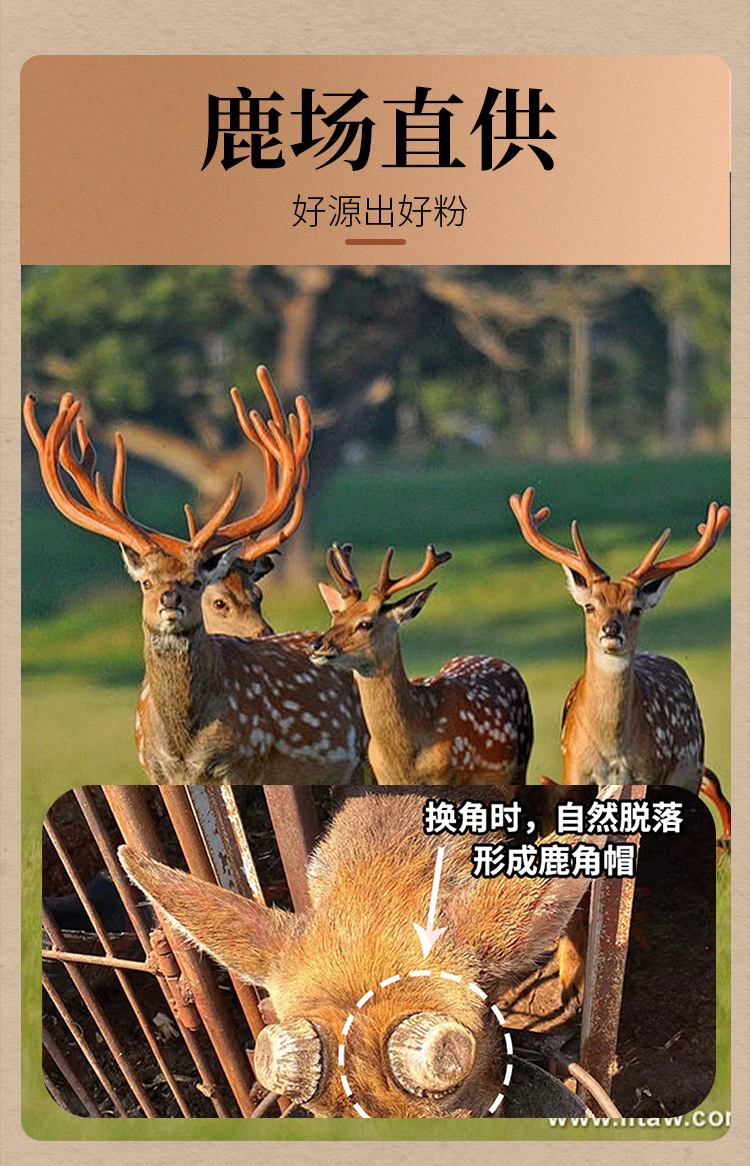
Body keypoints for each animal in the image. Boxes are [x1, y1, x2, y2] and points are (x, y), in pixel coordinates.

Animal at [24, 368, 367, 785]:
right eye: (147, 582)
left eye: (196, 582)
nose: (170, 599)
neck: (183, 746)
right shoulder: (154, 769)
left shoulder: (246, 762)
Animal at [308, 544, 533, 785]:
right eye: (335, 617)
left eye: (365, 624)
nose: (315, 644)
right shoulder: (383, 778)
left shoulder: (450, 776)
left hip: (519, 766)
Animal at [509, 486, 731, 843]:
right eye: (589, 606)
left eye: (635, 608)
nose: (611, 630)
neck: (611, 748)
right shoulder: (574, 769)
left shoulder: (649, 772)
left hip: (690, 772)